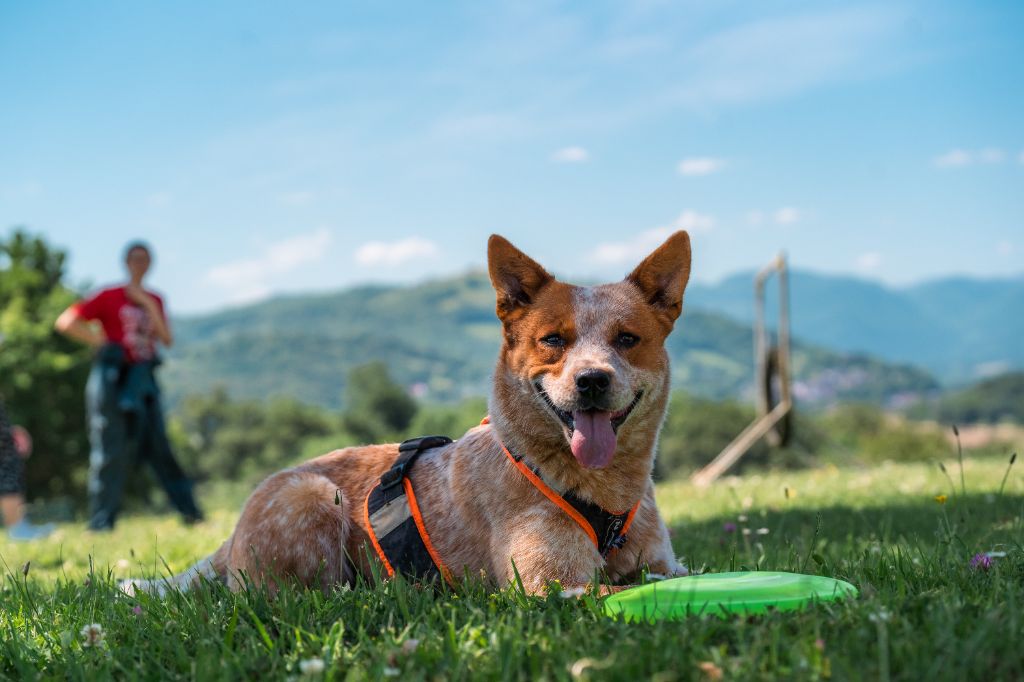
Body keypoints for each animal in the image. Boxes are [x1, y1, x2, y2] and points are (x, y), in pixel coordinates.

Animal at [123, 231, 692, 593]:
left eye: (627, 339)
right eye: (553, 340)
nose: (591, 380)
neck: (606, 495)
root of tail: (231, 532)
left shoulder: (666, 565)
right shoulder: (554, 587)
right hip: (312, 496)